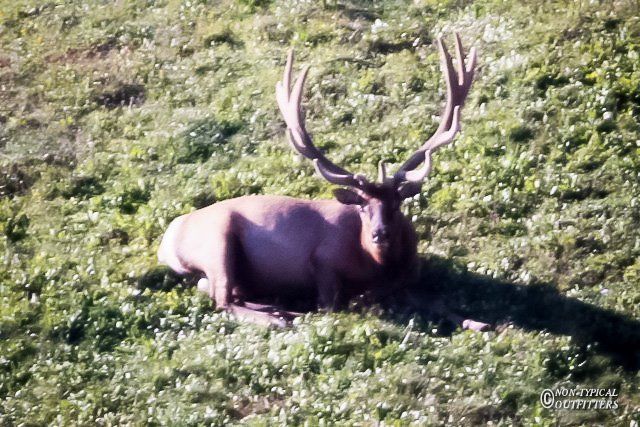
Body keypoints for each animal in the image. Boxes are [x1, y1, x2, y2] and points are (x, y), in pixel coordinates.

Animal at [158, 33, 488, 330]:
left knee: (221, 291)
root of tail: (168, 241)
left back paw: (280, 309)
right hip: (216, 240)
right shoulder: (323, 263)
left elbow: (440, 303)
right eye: (363, 207)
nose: (380, 234)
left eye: (396, 204)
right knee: (221, 298)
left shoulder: (412, 275)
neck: (379, 265)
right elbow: (342, 302)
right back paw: (281, 317)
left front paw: (479, 322)